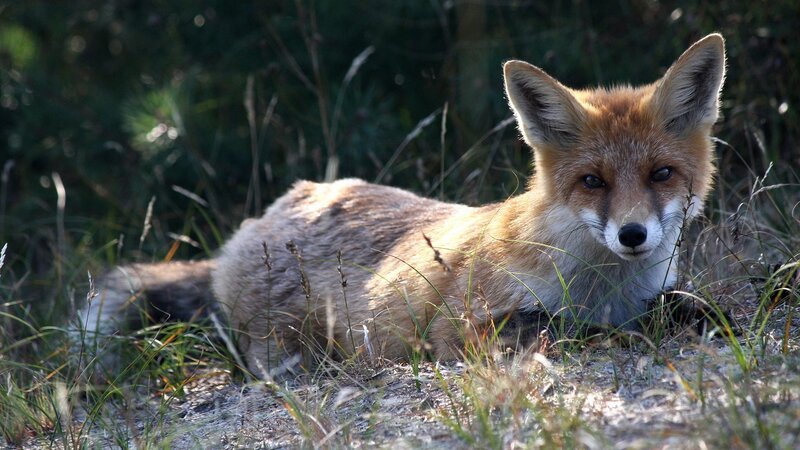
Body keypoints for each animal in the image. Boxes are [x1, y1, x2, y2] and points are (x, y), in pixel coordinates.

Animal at [77, 34, 726, 379]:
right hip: (289, 346)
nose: (633, 235)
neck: (603, 284)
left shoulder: (655, 289)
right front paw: (617, 334)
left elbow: (688, 305)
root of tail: (279, 204)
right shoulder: (462, 328)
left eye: (661, 174)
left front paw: (711, 317)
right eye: (593, 181)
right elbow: (568, 329)